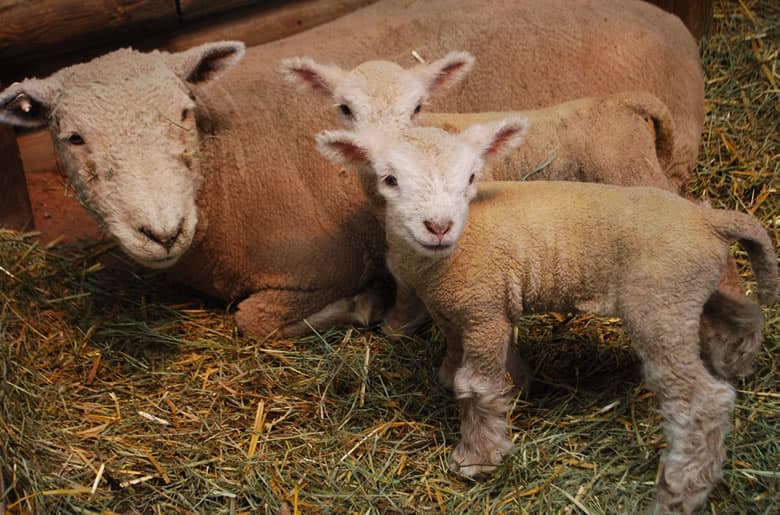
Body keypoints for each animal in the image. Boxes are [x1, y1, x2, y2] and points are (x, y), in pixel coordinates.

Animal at [0, 0, 705, 338]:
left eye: (182, 112)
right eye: (72, 137)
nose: (160, 229)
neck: (222, 168)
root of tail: (666, 16)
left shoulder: (321, 265)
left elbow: (255, 322)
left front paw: (365, 307)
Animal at [315, 119, 778, 514]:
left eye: (470, 178)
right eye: (390, 179)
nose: (439, 226)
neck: (451, 251)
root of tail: (709, 218)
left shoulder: (483, 310)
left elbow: (476, 386)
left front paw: (478, 457)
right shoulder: (464, 309)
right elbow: (462, 356)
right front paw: (506, 384)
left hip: (659, 306)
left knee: (703, 399)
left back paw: (682, 489)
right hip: (690, 291)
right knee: (744, 315)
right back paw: (737, 362)